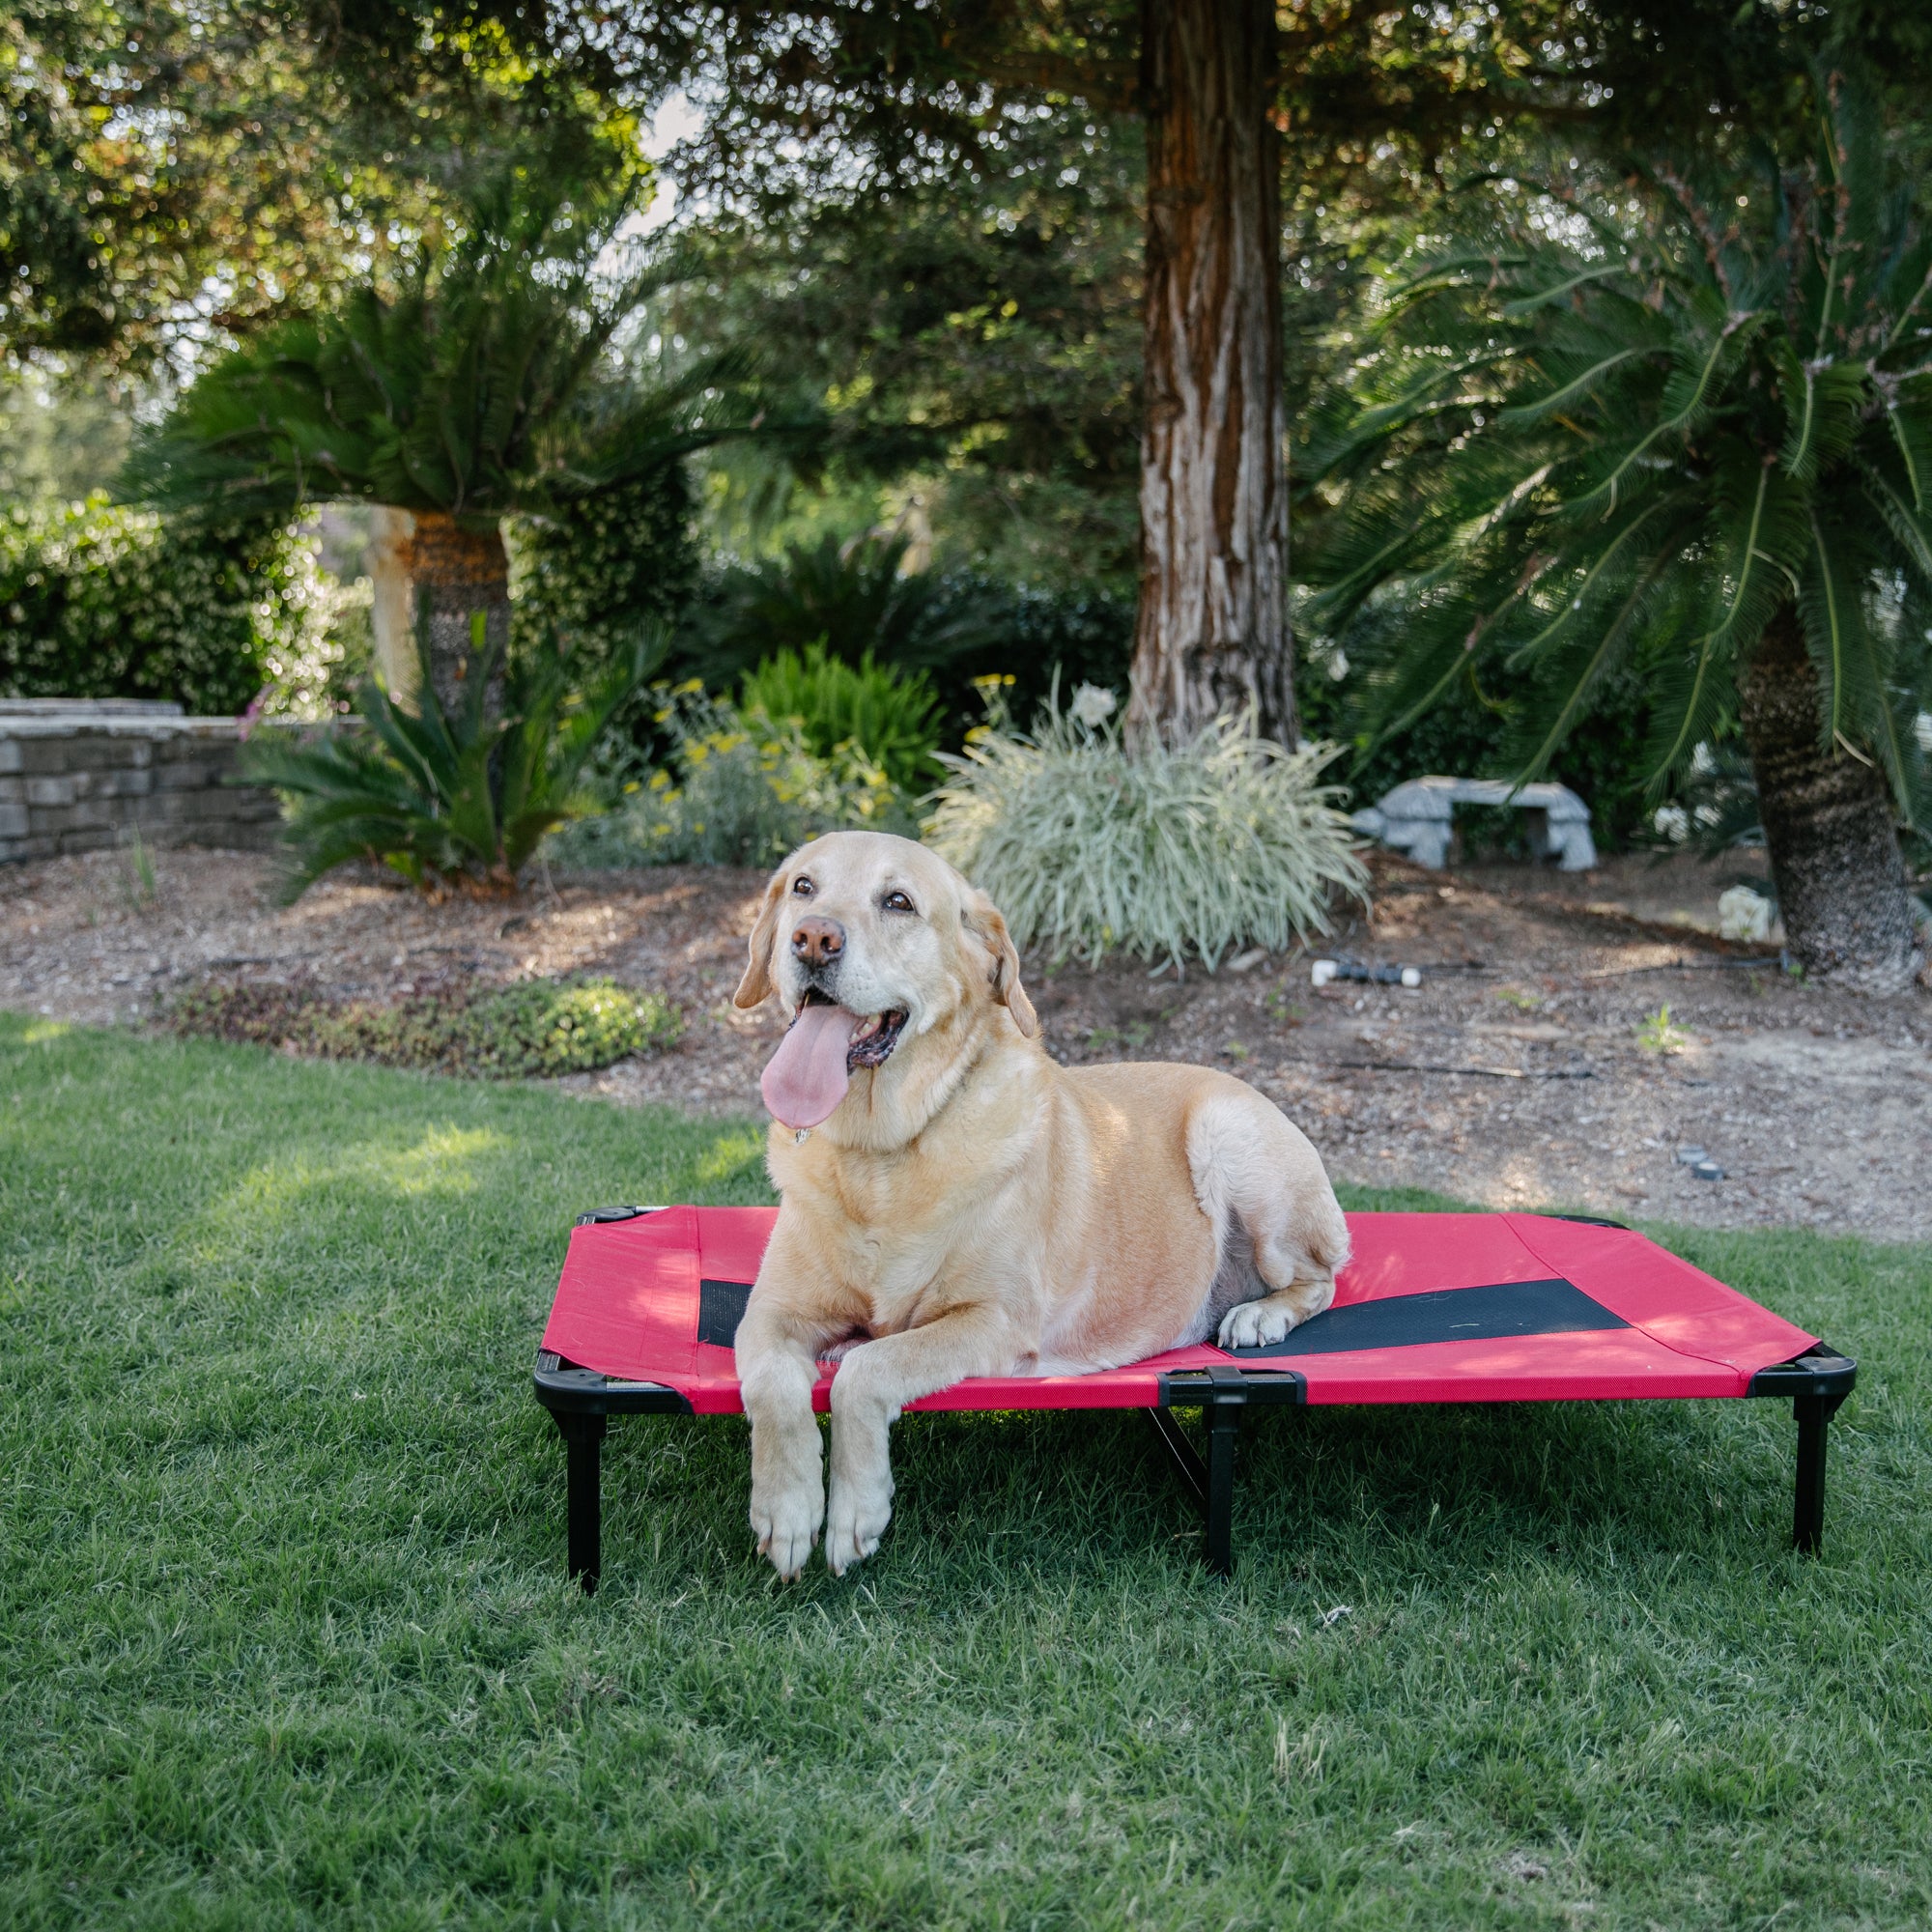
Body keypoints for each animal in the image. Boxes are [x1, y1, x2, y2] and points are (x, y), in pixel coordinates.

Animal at [730, 827, 1352, 1569]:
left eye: (898, 901)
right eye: (803, 887)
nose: (813, 939)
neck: (883, 1153)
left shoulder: (996, 1319)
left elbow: (873, 1366)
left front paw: (854, 1508)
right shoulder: (769, 1312)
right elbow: (772, 1384)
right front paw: (787, 1509)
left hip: (1230, 1135)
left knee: (1321, 1279)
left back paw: (1260, 1315)